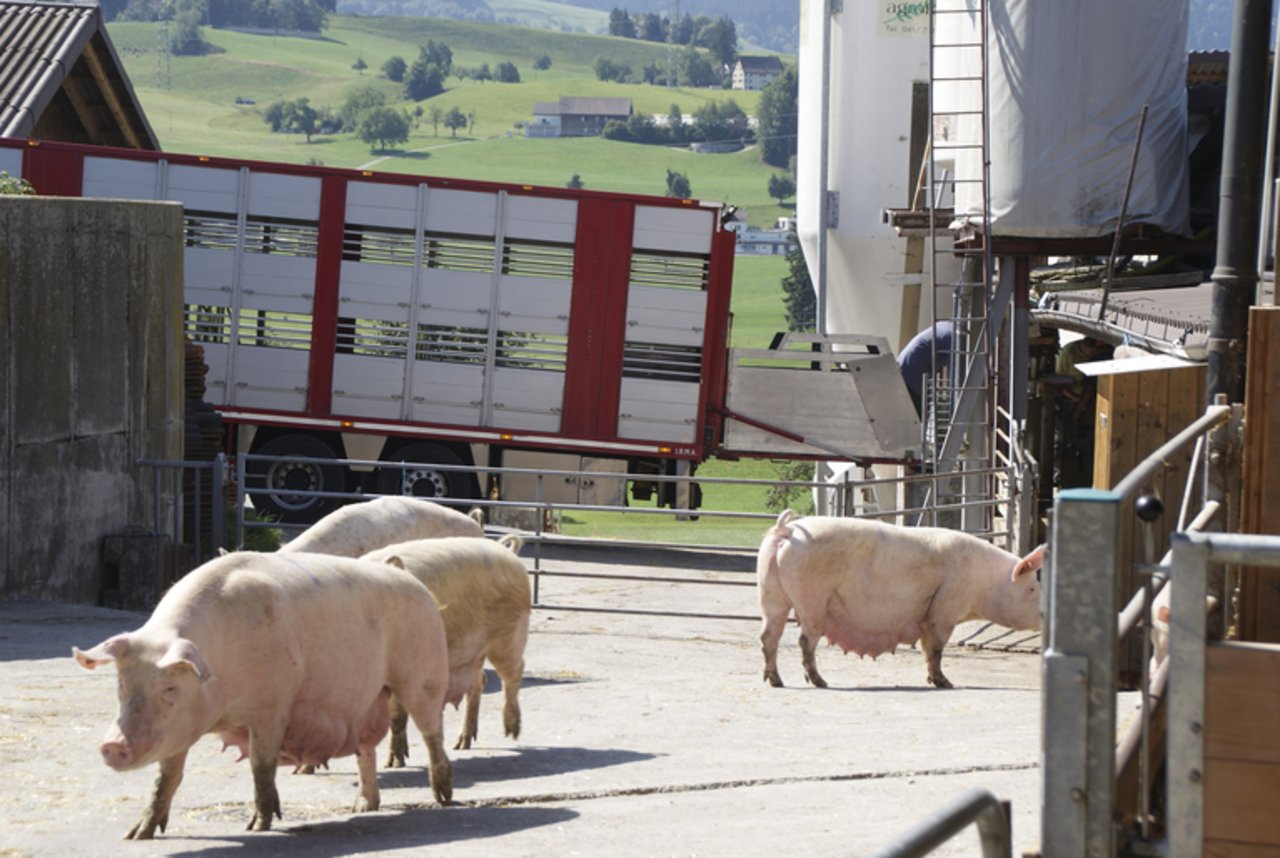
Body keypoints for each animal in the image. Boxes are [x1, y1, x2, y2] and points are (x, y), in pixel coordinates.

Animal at [73, 550, 455, 840]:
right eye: (121, 685)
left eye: (169, 688)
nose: (113, 745)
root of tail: (408, 577)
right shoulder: (180, 730)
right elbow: (167, 776)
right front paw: (136, 834)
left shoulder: (273, 707)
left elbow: (261, 765)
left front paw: (257, 827)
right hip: (367, 697)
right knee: (365, 749)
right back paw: (362, 806)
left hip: (424, 673)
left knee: (431, 731)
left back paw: (443, 798)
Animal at [363, 535, 532, 763]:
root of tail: (509, 553)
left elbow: (397, 715)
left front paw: (394, 763)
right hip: (473, 652)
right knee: (479, 683)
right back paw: (461, 745)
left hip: (510, 634)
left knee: (514, 673)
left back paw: (511, 731)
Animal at [757, 512, 1039, 691]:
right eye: (1033, 588)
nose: (1044, 616)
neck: (986, 581)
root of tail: (786, 530)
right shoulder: (946, 607)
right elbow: (936, 648)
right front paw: (946, 684)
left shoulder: (929, 616)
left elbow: (927, 649)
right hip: (811, 597)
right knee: (805, 639)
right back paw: (820, 682)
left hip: (770, 592)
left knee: (769, 635)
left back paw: (776, 681)